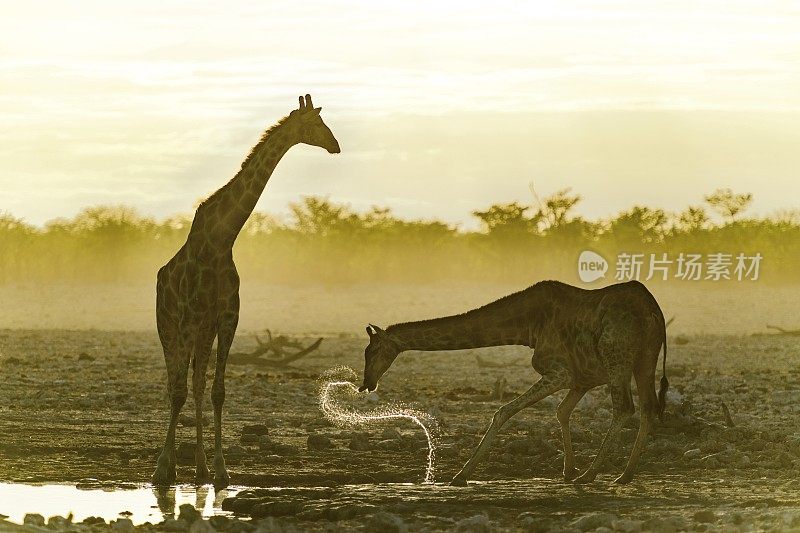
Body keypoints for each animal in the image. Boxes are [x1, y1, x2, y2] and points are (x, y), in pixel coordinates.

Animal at [152, 92, 340, 486]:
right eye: (316, 123)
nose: (336, 145)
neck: (221, 242)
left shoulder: (226, 319)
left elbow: (217, 392)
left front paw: (220, 470)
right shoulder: (190, 319)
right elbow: (178, 391)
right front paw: (163, 469)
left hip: (201, 332)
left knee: (195, 384)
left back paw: (199, 468)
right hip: (169, 327)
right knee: (174, 383)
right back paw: (171, 466)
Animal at [360, 280, 664, 484]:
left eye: (372, 351)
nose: (366, 384)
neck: (527, 327)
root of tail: (653, 313)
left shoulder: (560, 373)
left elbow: (502, 411)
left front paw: (461, 475)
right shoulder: (581, 379)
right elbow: (562, 412)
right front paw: (568, 470)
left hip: (618, 360)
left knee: (625, 407)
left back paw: (591, 475)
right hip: (645, 359)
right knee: (649, 407)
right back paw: (624, 475)